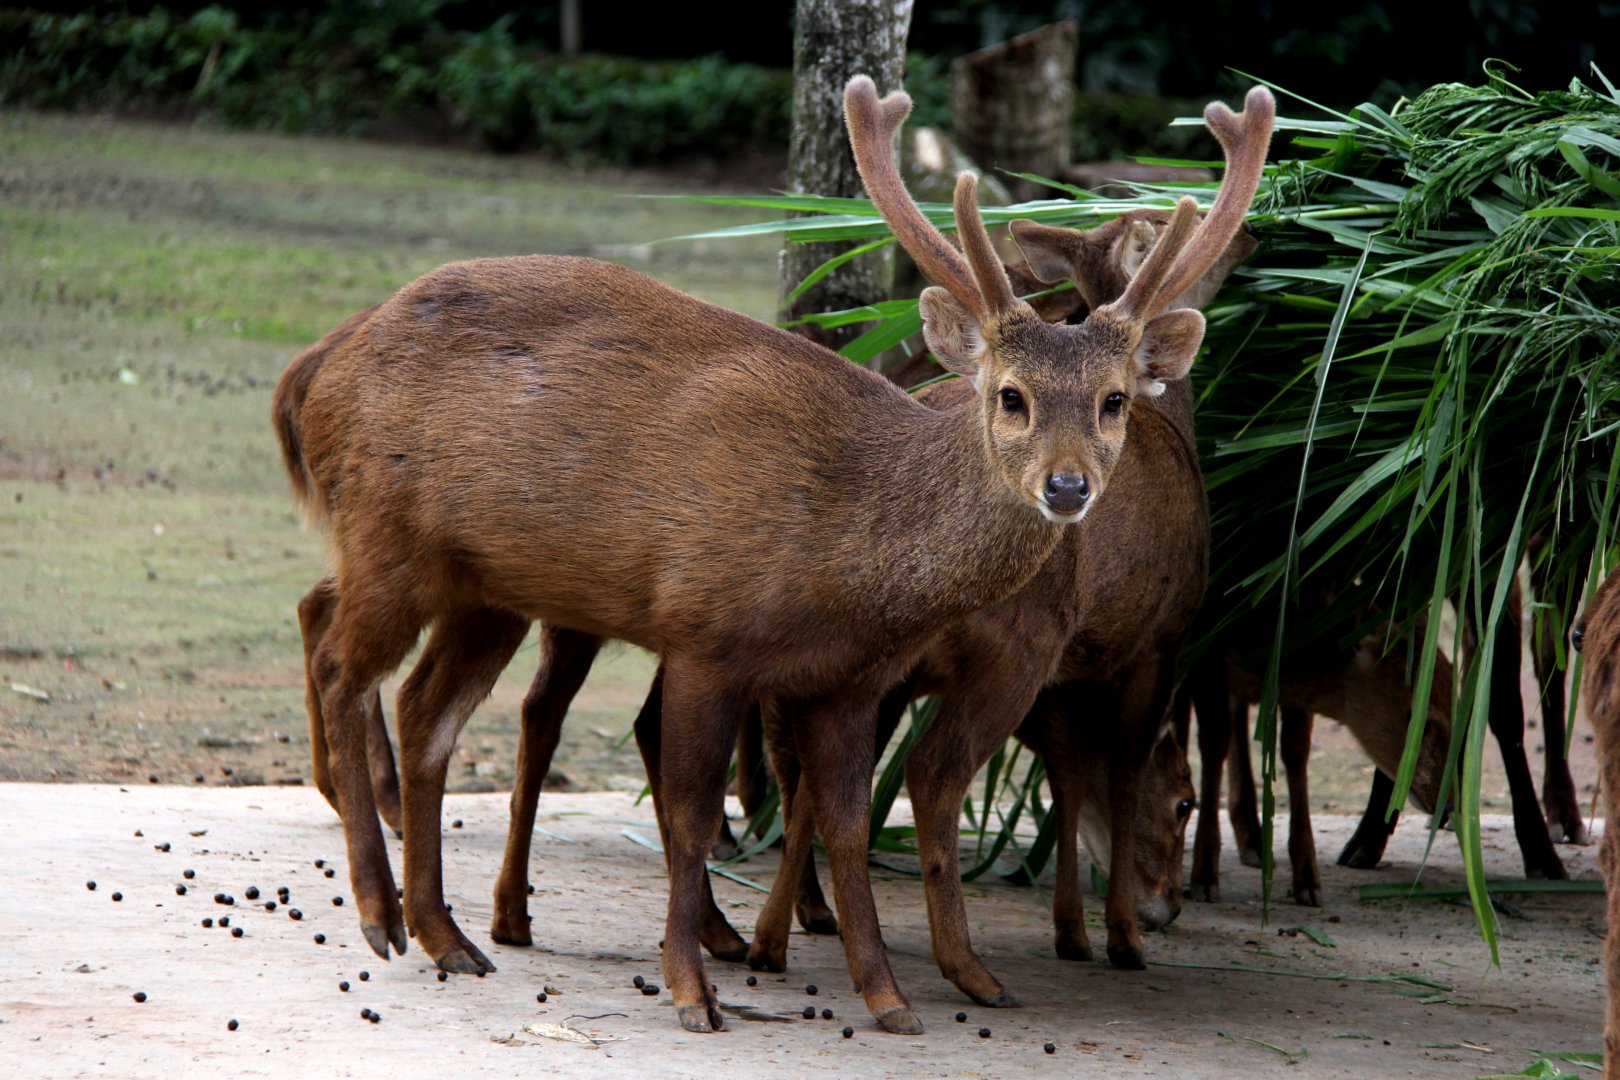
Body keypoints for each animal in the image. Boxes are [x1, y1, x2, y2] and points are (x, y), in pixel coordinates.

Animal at [271, 71, 1274, 1033]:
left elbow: (845, 820)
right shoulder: (704, 632)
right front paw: (693, 990)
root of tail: (315, 368)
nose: (1068, 489)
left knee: (426, 711)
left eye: (1114, 400)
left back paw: (449, 937)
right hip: (388, 534)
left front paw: (885, 998)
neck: (848, 547)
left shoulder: (851, 679)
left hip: (489, 588)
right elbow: (689, 816)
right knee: (341, 663)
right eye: (1012, 396)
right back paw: (381, 913)